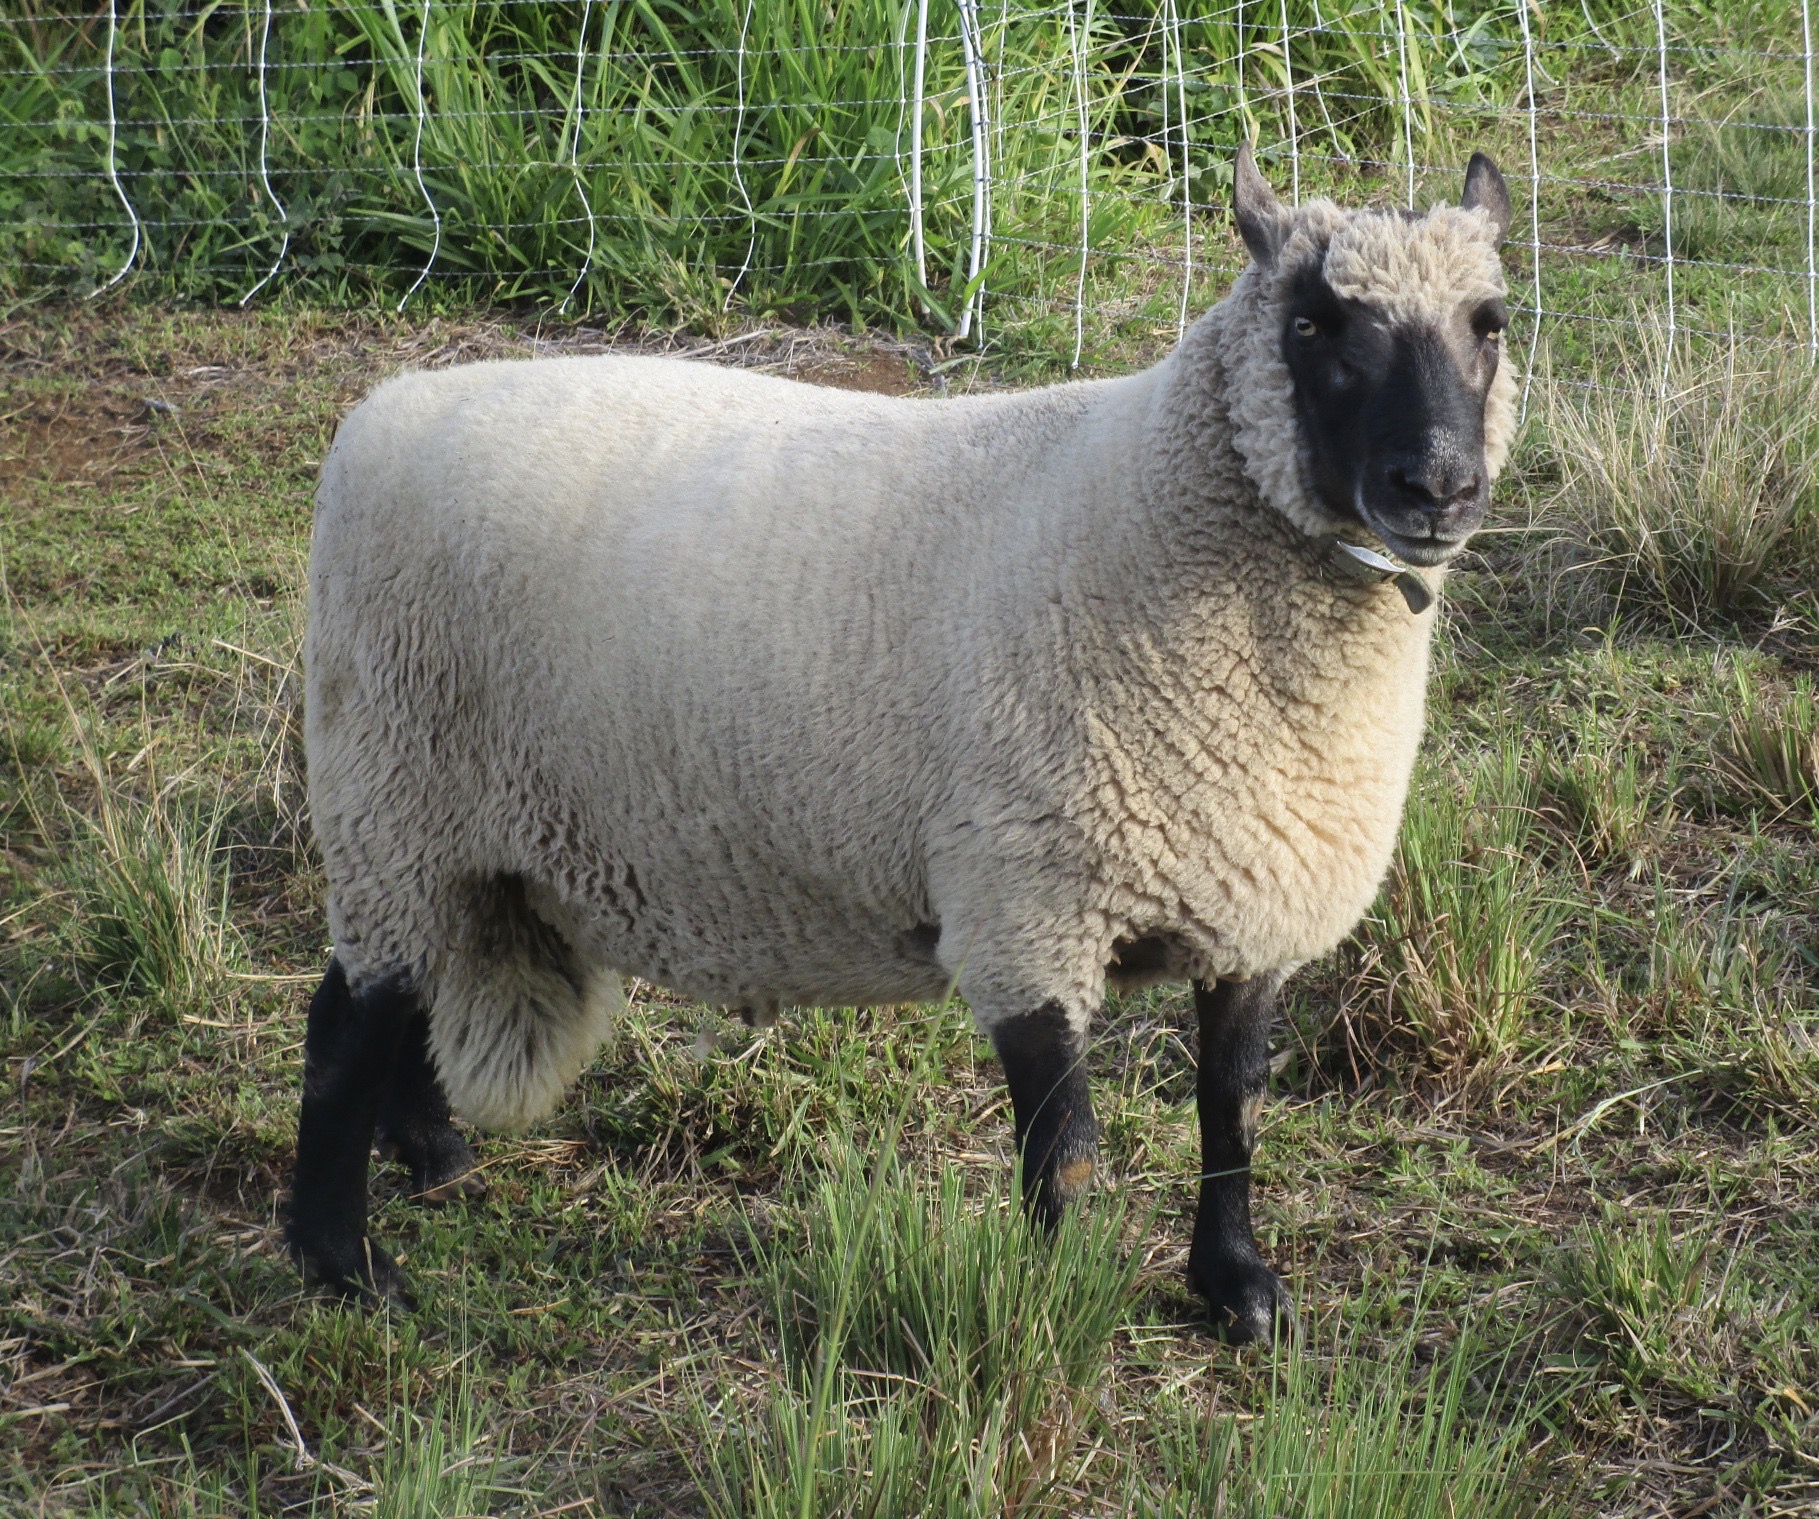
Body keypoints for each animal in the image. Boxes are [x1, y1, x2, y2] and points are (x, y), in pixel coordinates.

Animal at [291, 145, 1520, 1346]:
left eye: (1490, 320)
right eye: (1312, 323)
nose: (1435, 486)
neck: (1154, 511)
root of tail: (383, 410)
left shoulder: (1250, 900)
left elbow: (1234, 1106)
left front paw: (1238, 1288)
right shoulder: (1028, 908)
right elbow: (1065, 1153)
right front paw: (1055, 1317)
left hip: (441, 827)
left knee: (398, 990)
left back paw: (433, 1154)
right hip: (389, 789)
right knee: (347, 1020)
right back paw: (344, 1265)